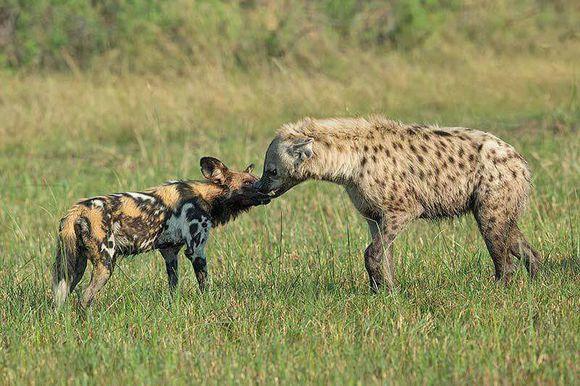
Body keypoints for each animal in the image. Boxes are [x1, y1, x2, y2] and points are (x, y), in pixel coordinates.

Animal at [53, 158, 270, 308]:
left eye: (257, 179)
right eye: (248, 183)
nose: (268, 192)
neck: (206, 196)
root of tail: (77, 210)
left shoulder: (170, 253)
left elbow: (173, 287)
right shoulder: (196, 251)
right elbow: (205, 285)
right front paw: (210, 304)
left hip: (75, 268)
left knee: (60, 300)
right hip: (105, 264)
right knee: (84, 299)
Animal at [256, 116, 540, 292]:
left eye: (271, 170)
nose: (259, 188)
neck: (351, 163)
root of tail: (521, 161)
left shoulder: (402, 209)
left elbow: (372, 252)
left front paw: (381, 290)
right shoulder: (373, 215)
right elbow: (384, 254)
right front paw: (386, 291)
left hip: (491, 205)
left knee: (504, 256)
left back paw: (498, 290)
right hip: (501, 208)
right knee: (525, 248)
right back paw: (537, 284)